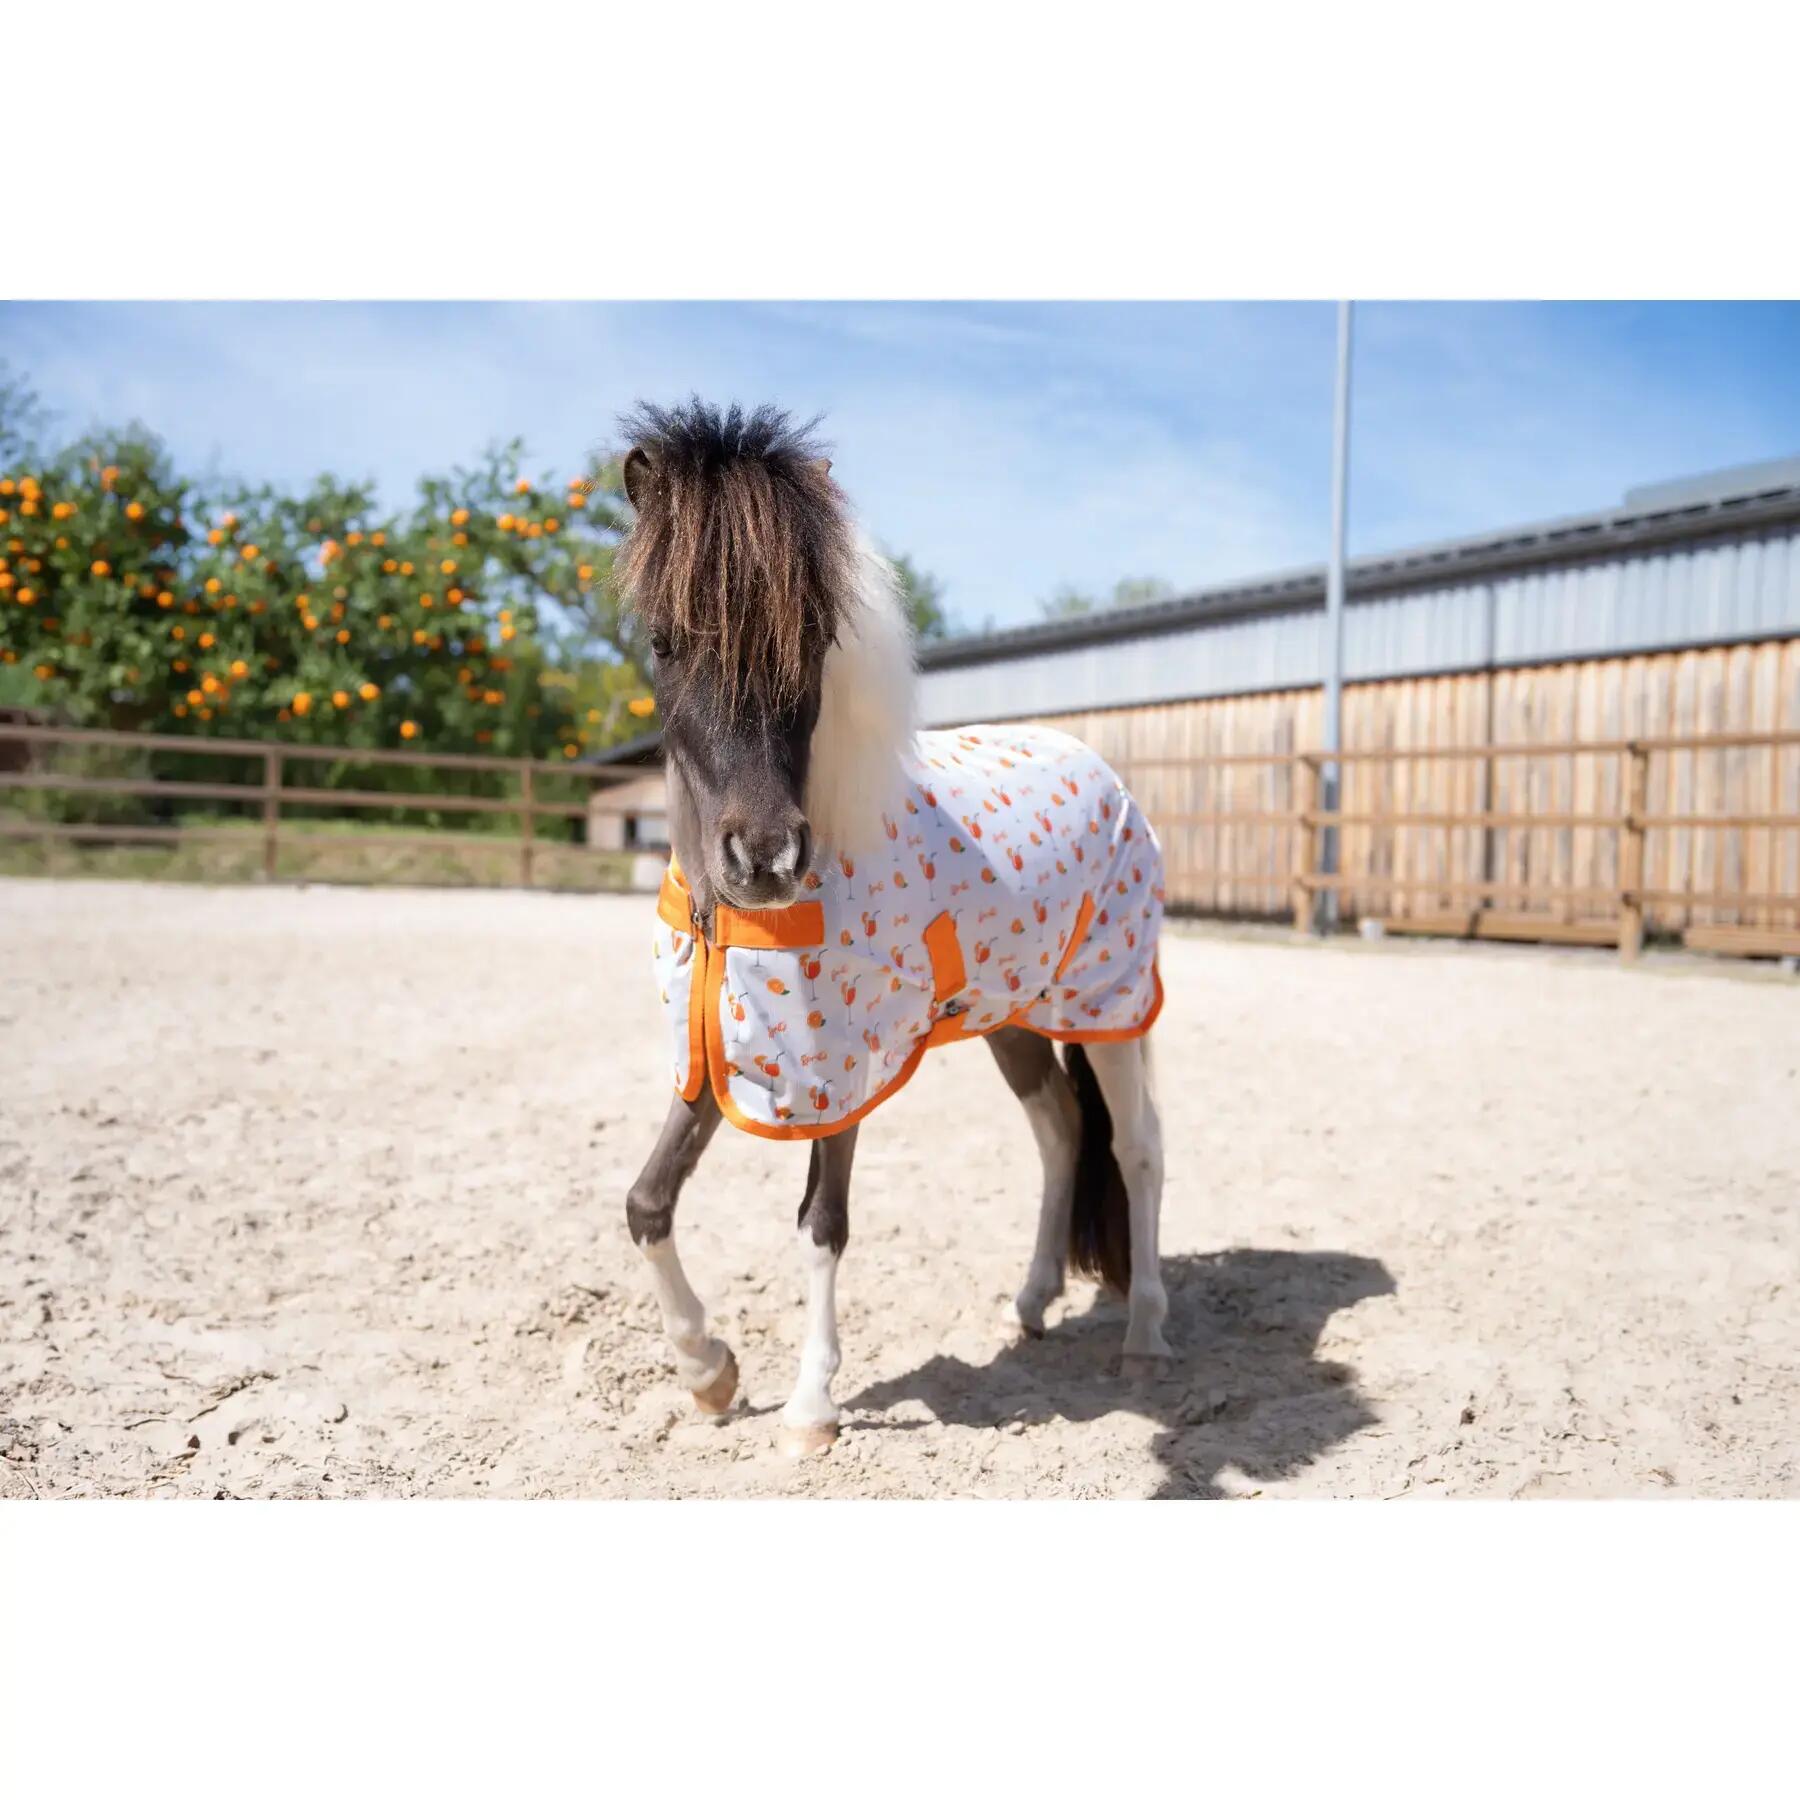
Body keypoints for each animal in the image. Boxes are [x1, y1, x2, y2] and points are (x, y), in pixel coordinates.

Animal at [617, 399, 1172, 1457]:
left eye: (814, 642)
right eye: (664, 641)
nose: (766, 858)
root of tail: (1096, 762)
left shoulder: (841, 1072)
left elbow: (821, 1224)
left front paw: (809, 1409)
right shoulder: (718, 1051)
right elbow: (647, 1203)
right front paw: (709, 1373)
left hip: (1109, 1006)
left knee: (1136, 1146)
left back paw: (1144, 1339)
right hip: (1013, 1017)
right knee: (1059, 1130)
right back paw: (1031, 1303)